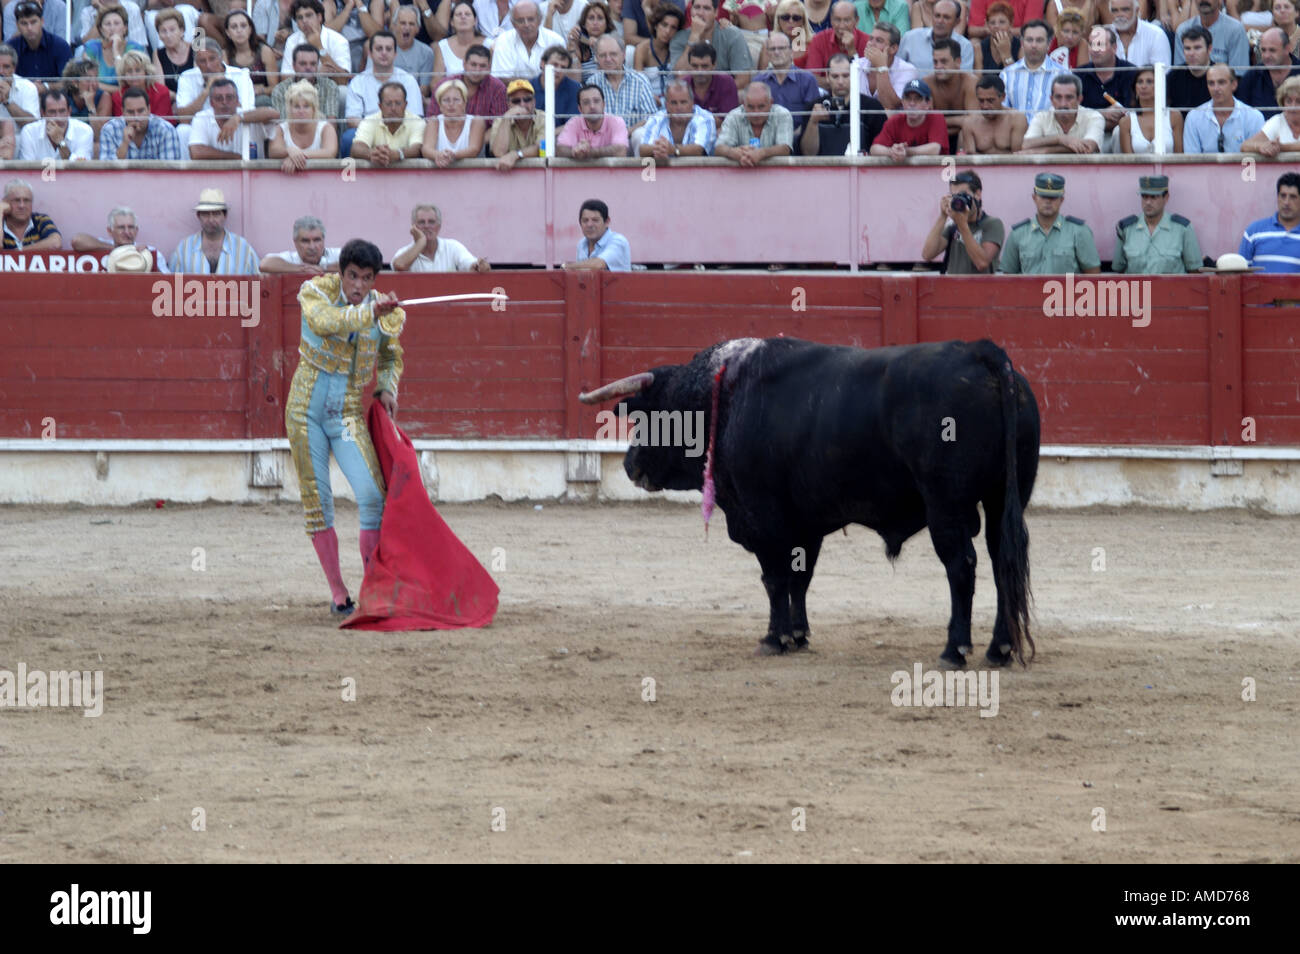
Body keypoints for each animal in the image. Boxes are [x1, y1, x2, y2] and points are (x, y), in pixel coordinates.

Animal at [585, 340, 1040, 670]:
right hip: (1003, 498)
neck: (723, 400)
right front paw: (799, 636)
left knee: (961, 566)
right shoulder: (805, 521)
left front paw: (774, 638)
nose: (628, 465)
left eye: (651, 415)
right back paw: (998, 649)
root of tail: (981, 352)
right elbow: (800, 577)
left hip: (946, 504)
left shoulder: (763, 516)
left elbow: (774, 578)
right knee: (1003, 562)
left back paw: (954, 650)